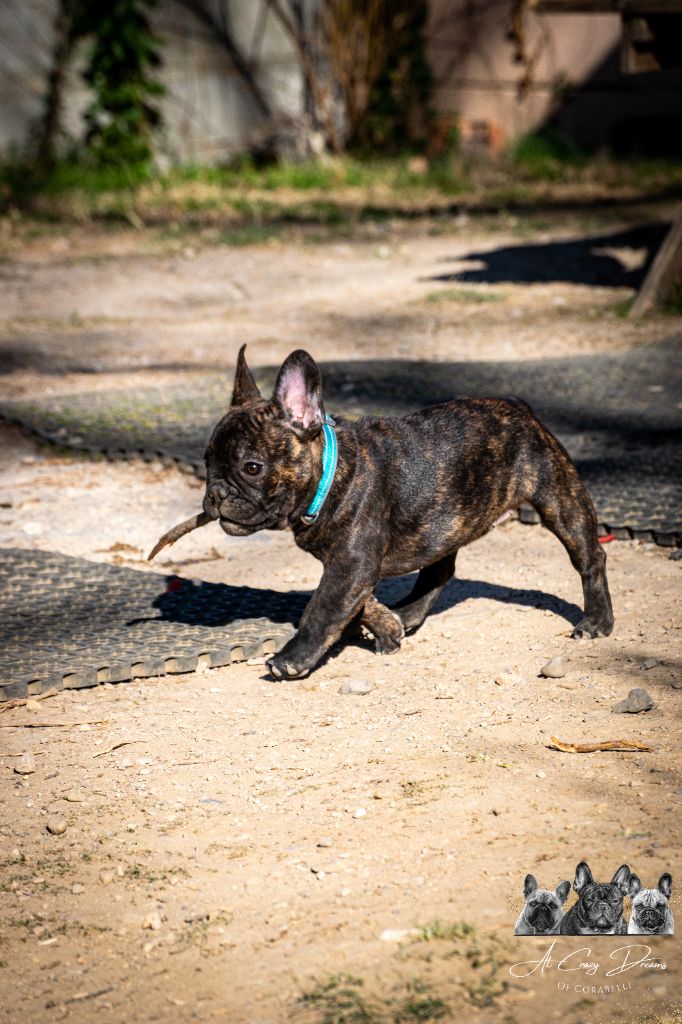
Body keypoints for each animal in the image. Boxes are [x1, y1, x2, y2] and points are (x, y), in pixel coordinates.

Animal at [201, 346, 610, 679]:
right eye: (206, 463)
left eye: (252, 467)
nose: (215, 493)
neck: (332, 474)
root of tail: (518, 406)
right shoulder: (352, 568)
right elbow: (358, 603)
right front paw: (388, 626)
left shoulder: (350, 565)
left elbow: (322, 607)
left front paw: (293, 658)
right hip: (443, 522)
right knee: (439, 569)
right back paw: (409, 613)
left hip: (559, 500)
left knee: (590, 557)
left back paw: (597, 621)